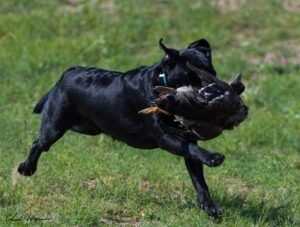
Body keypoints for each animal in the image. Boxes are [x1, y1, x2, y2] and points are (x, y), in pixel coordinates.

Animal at [17, 38, 225, 217]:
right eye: (193, 76)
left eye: (212, 74)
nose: (212, 95)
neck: (160, 83)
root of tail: (68, 73)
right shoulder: (165, 138)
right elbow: (192, 151)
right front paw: (214, 157)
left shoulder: (188, 139)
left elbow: (199, 177)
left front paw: (210, 208)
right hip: (54, 126)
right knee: (38, 144)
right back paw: (26, 168)